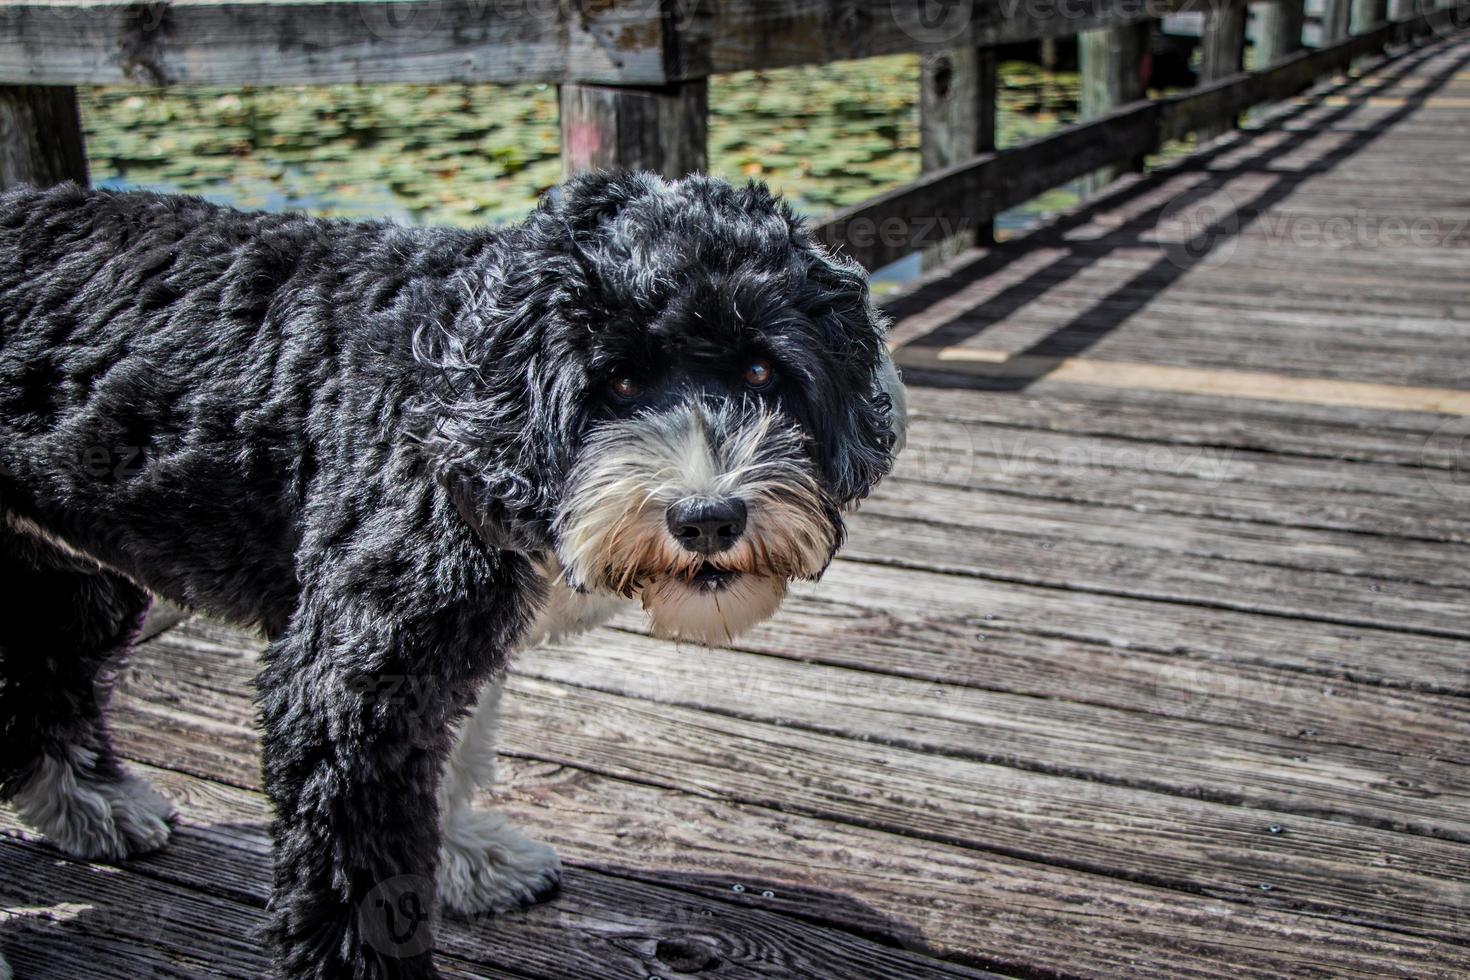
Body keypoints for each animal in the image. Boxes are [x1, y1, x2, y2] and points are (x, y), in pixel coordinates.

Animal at [0, 172, 905, 975]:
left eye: (761, 372)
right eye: (616, 380)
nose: (708, 516)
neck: (461, 394)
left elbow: (452, 757)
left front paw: (465, 865)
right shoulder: (347, 686)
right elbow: (355, 883)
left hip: (62, 574)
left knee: (43, 675)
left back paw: (91, 806)